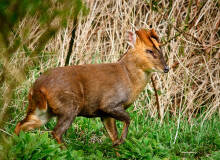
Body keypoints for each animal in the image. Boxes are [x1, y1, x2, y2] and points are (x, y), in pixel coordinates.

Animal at [14, 28, 169, 146]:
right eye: (149, 51)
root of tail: (37, 87)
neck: (129, 79)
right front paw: (121, 141)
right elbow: (128, 119)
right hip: (69, 106)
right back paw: (66, 150)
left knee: (21, 124)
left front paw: (116, 146)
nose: (166, 68)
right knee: (55, 132)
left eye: (160, 49)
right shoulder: (109, 103)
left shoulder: (105, 114)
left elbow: (113, 135)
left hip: (42, 110)